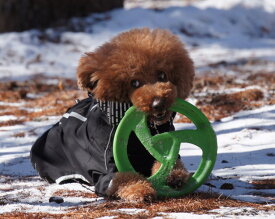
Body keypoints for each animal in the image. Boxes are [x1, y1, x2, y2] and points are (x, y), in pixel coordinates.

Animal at [76, 27, 195, 202]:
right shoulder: (106, 168)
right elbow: (123, 177)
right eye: (135, 83)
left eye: (162, 75)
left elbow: (169, 162)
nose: (158, 103)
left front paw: (175, 175)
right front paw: (140, 190)